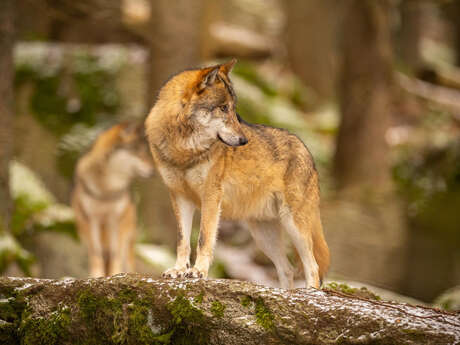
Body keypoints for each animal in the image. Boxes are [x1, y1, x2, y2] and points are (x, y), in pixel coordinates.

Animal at [72, 121, 154, 276]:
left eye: (146, 152)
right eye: (137, 152)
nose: (153, 171)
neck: (107, 190)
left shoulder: (115, 220)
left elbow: (116, 253)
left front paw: (115, 274)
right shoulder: (91, 219)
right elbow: (96, 252)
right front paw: (96, 276)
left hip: (127, 236)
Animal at [146, 59, 328, 288]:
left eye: (233, 109)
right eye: (224, 108)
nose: (244, 141)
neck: (183, 150)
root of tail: (307, 151)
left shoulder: (211, 197)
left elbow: (204, 238)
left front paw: (198, 272)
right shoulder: (179, 197)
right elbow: (182, 241)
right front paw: (178, 270)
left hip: (294, 225)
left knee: (312, 267)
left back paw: (309, 293)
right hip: (263, 235)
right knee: (287, 269)